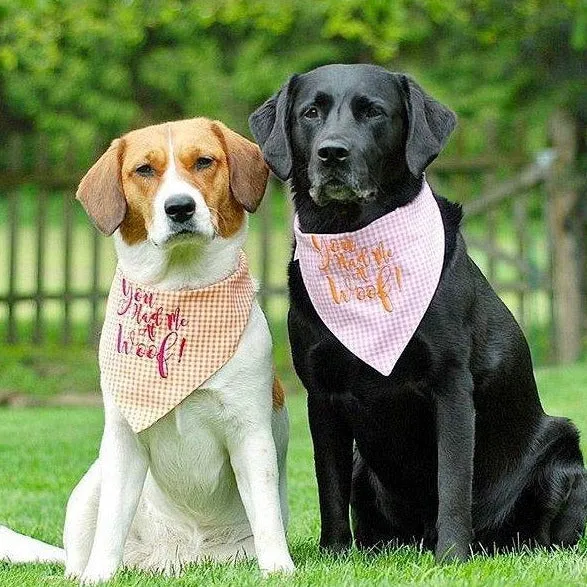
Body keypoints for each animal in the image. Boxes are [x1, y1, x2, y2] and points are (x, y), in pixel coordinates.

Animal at [0, 118, 294, 584]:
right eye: (144, 170)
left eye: (204, 161)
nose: (180, 208)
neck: (180, 292)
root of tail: (181, 557)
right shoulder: (123, 440)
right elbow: (111, 527)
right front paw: (100, 575)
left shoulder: (250, 434)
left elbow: (265, 515)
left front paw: (279, 569)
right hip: (89, 489)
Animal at [250, 63, 587, 560]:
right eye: (310, 112)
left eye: (373, 112)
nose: (332, 153)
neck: (355, 241)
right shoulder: (321, 393)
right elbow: (328, 486)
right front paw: (333, 553)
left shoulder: (450, 384)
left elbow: (453, 481)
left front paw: (452, 556)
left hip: (564, 453)